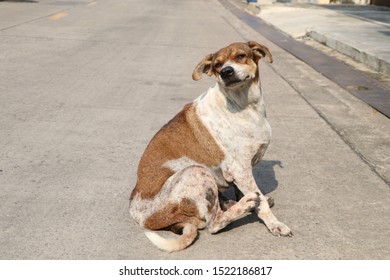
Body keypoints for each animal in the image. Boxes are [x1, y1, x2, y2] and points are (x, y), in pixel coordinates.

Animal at [129, 41, 290, 252]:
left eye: (240, 56)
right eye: (217, 65)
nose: (226, 72)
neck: (243, 105)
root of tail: (140, 216)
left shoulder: (242, 173)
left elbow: (245, 192)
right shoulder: (240, 170)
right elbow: (260, 204)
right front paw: (274, 223)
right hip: (196, 171)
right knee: (214, 222)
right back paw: (244, 204)